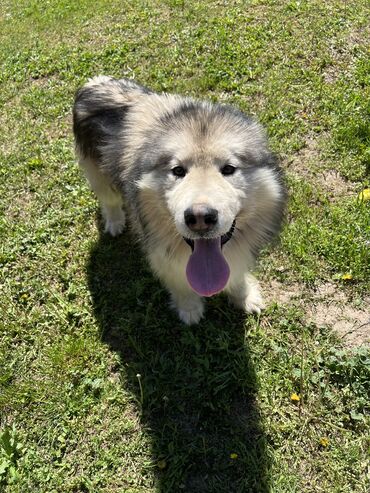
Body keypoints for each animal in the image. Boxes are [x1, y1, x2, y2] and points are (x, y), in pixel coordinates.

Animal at [72, 76, 286, 322]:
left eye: (229, 169)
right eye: (178, 170)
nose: (200, 217)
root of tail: (94, 82)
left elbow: (236, 273)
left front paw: (245, 297)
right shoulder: (160, 253)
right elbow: (180, 284)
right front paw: (190, 309)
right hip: (98, 175)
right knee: (109, 200)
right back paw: (115, 222)